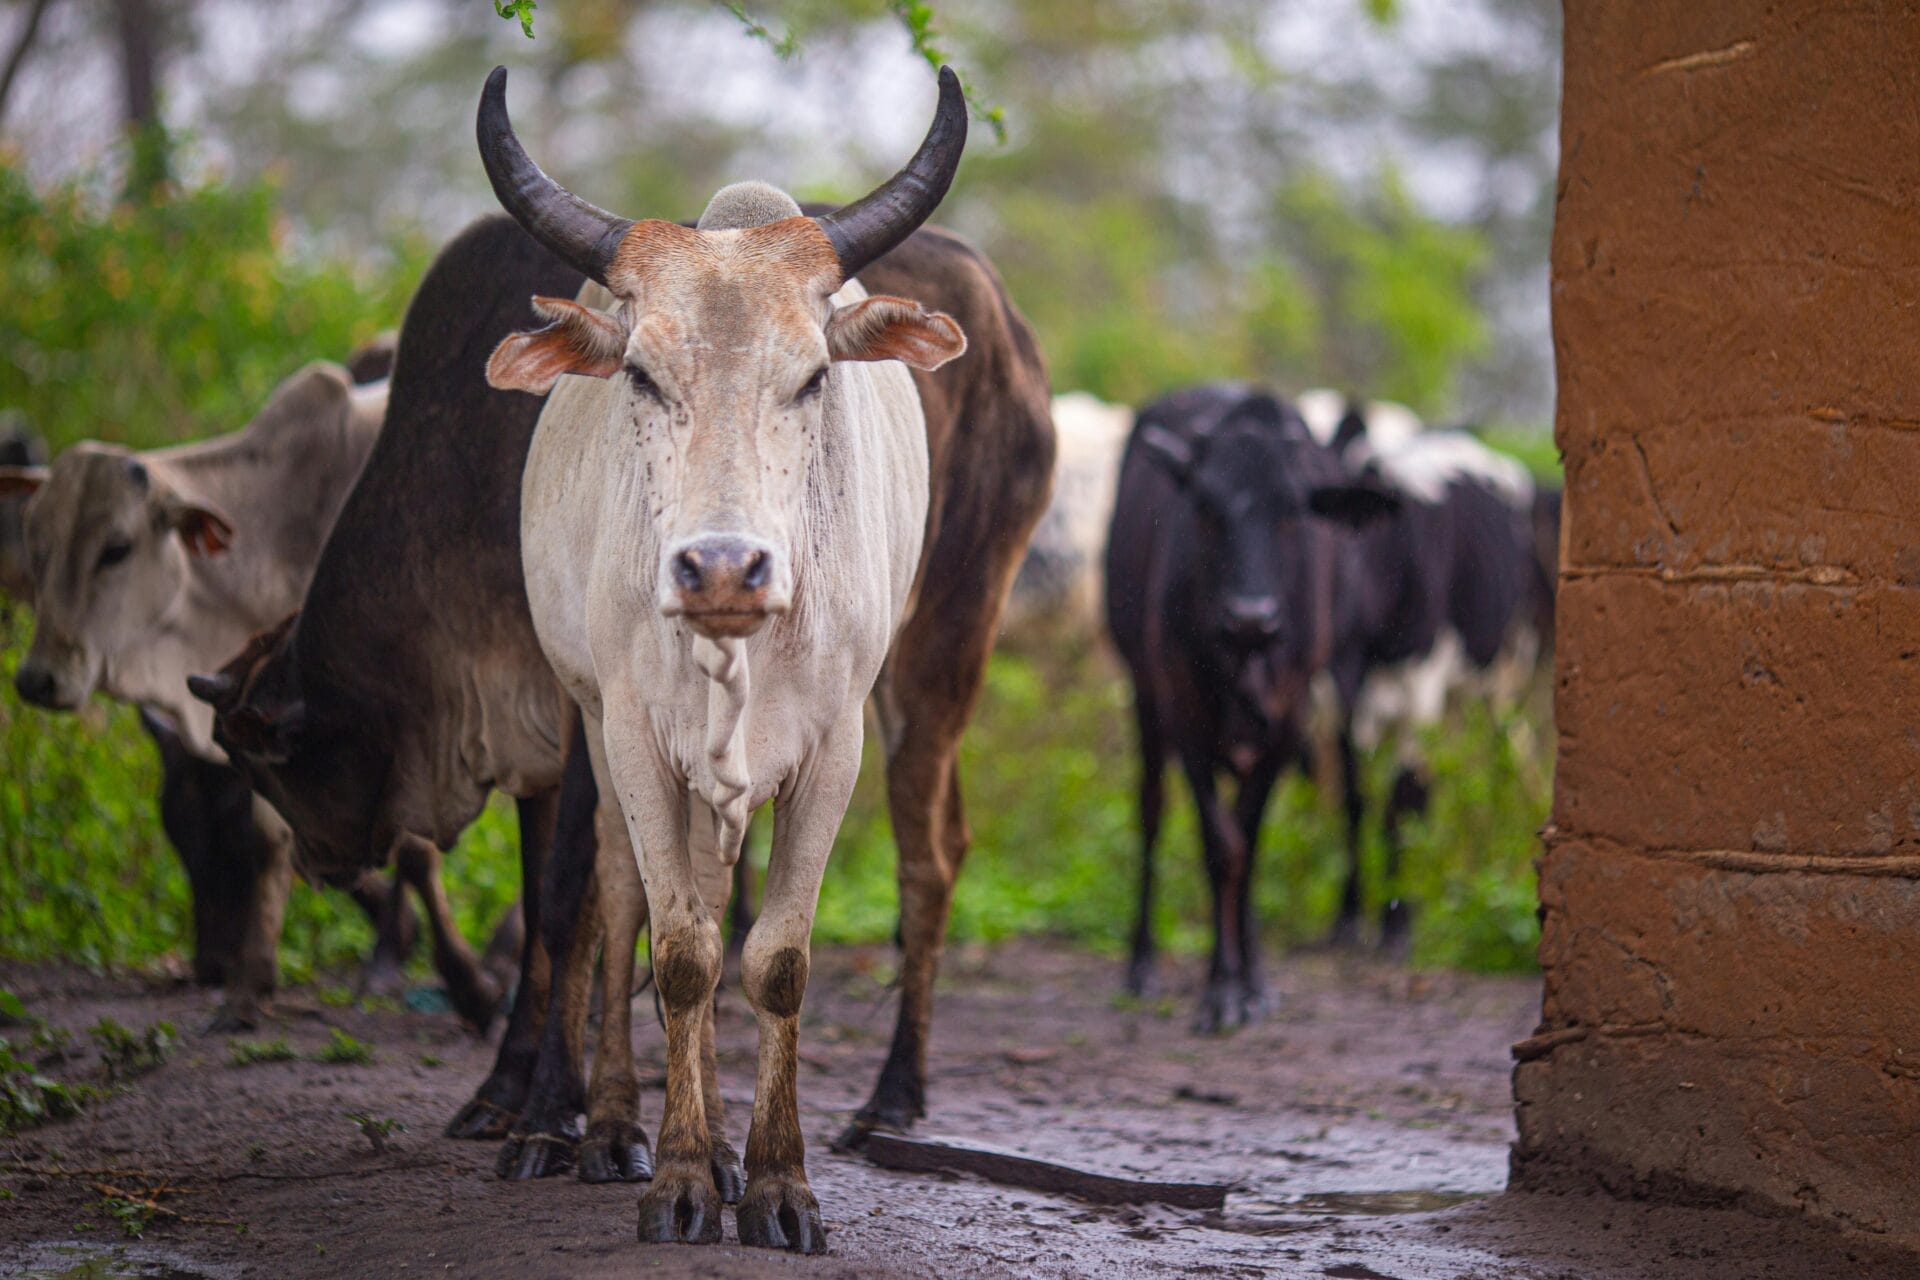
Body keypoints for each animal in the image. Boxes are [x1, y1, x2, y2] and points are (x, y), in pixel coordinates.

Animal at [0, 364, 466, 1028]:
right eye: (35, 543)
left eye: (116, 548)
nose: (38, 678)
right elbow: (274, 838)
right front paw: (250, 987)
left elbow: (416, 849)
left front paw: (470, 985)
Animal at [1106, 384, 1398, 1030]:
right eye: (1206, 507)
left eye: (1291, 510)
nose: (1251, 617)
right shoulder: (1182, 709)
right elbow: (1222, 848)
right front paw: (1221, 988)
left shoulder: (1290, 718)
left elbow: (1251, 844)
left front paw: (1250, 981)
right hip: (1144, 693)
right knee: (1151, 812)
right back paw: (1141, 963)